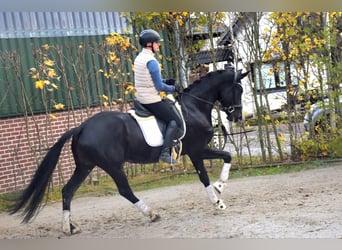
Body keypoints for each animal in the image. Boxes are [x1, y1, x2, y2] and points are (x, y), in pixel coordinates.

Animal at [9, 68, 247, 234]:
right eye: (238, 90)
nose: (237, 117)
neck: (193, 107)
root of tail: (81, 127)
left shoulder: (196, 152)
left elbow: (222, 161)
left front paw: (219, 191)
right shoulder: (197, 151)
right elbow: (213, 169)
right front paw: (218, 194)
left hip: (85, 166)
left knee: (68, 191)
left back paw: (70, 228)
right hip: (113, 166)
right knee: (125, 190)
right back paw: (152, 214)